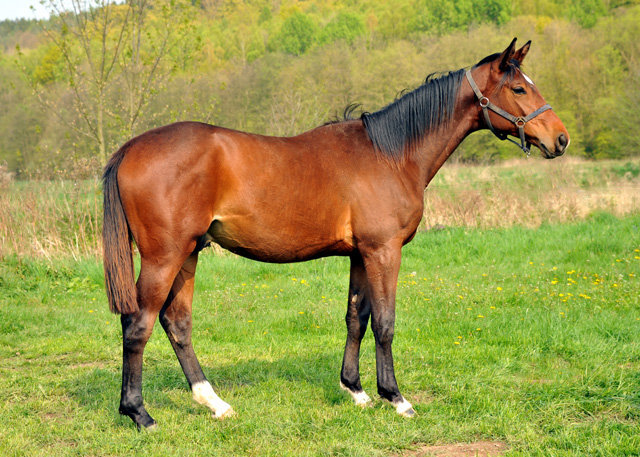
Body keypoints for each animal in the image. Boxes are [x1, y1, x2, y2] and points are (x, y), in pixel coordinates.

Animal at [104, 38, 568, 428]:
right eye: (520, 89)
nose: (560, 139)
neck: (391, 155)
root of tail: (130, 148)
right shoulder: (384, 251)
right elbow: (385, 322)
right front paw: (395, 397)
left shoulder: (360, 254)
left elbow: (356, 319)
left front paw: (356, 391)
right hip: (165, 256)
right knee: (138, 324)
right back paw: (139, 414)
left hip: (189, 253)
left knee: (176, 323)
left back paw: (214, 403)